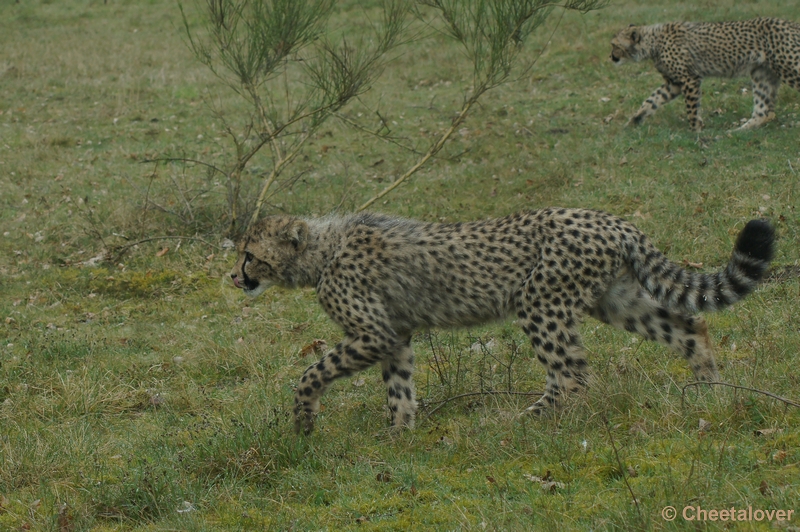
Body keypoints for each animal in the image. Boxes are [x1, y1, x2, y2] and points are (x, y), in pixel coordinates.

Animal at [231, 210, 776, 434]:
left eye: (249, 255)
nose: (234, 278)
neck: (321, 252)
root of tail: (613, 220)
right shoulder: (396, 336)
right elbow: (399, 389)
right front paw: (399, 436)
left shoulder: (374, 333)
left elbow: (311, 373)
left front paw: (304, 421)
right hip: (614, 301)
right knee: (689, 328)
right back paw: (709, 394)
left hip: (539, 302)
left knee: (573, 373)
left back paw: (525, 421)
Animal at [608, 19, 800, 132]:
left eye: (614, 45)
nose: (610, 57)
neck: (653, 42)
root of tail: (790, 23)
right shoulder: (673, 84)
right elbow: (651, 101)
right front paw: (633, 122)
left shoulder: (689, 79)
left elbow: (692, 109)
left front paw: (696, 132)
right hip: (762, 73)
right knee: (764, 112)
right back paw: (735, 132)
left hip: (789, 67)